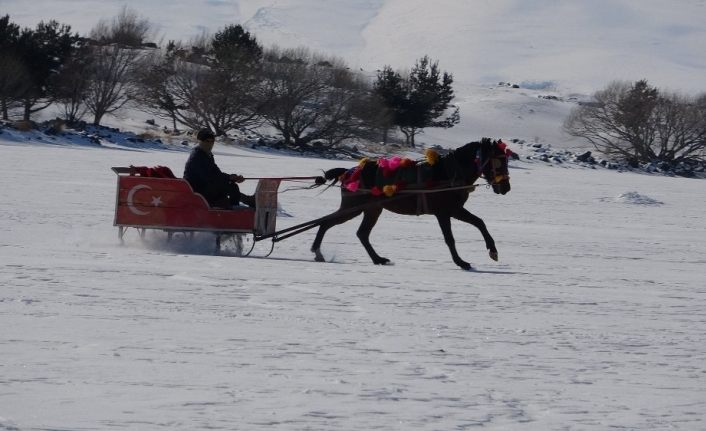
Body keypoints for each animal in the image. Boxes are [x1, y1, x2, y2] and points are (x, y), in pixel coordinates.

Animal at [310, 138, 512, 270]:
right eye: (498, 161)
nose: (506, 187)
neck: (448, 173)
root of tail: (348, 172)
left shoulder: (454, 209)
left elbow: (479, 222)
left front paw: (493, 251)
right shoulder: (444, 212)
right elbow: (450, 238)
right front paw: (461, 262)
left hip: (372, 209)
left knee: (361, 233)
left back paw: (378, 259)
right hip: (353, 208)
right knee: (326, 222)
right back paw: (317, 252)